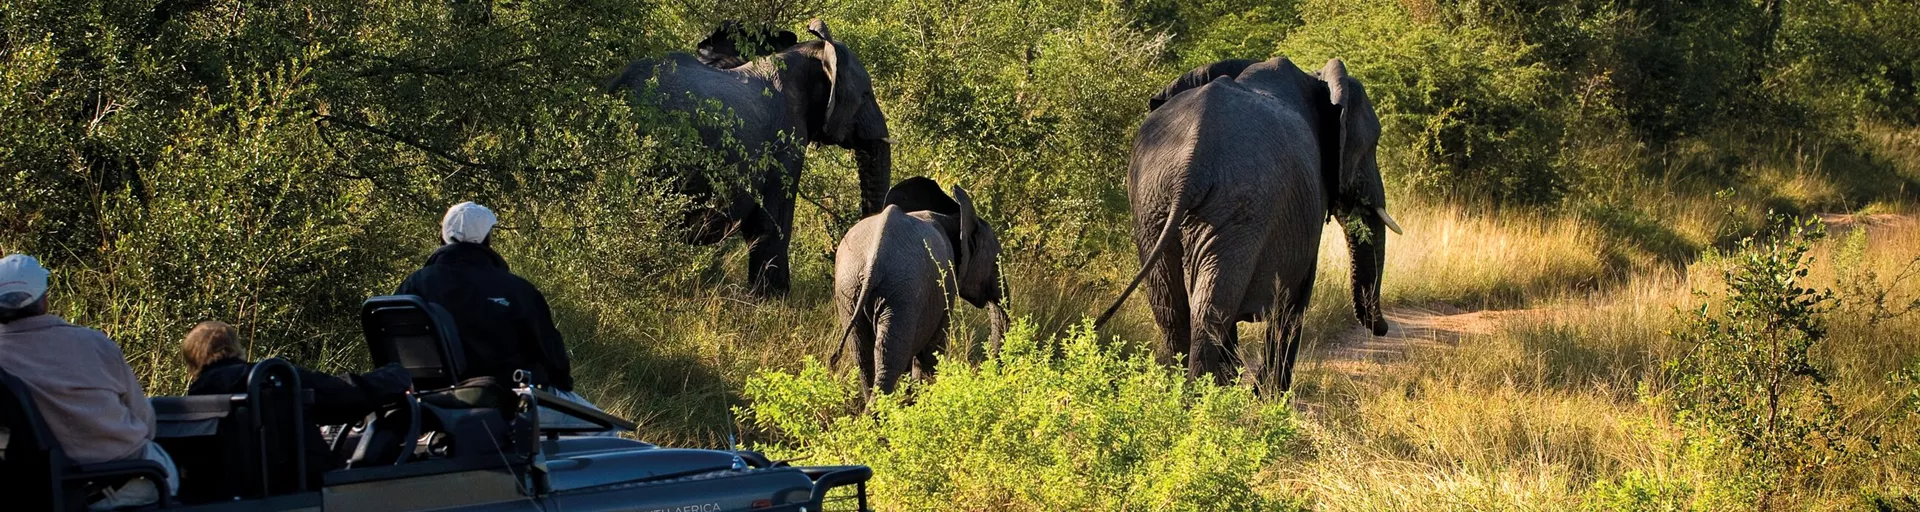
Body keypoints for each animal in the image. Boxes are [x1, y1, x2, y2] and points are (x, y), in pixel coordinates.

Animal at [832, 177, 1010, 398]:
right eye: (995, 264)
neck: (953, 216)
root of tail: (873, 263)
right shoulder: (945, 284)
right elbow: (932, 350)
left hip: (850, 291)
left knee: (864, 357)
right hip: (902, 294)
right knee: (889, 358)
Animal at [1095, 57, 1404, 392]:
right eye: (1371, 146)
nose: (1383, 329)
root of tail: (1191, 165)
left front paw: (1245, 386)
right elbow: (1295, 298)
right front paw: (1270, 396)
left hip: (1153, 206)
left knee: (1172, 306)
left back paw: (1196, 391)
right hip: (1237, 209)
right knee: (1211, 308)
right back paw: (1206, 395)